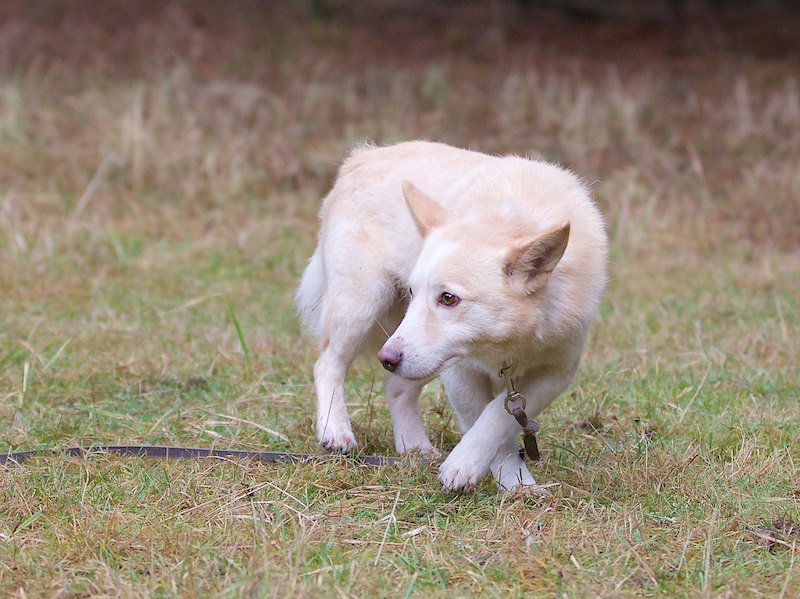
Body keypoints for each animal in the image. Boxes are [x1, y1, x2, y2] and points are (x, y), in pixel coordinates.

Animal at [296, 141, 607, 492]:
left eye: (448, 298)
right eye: (415, 291)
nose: (385, 358)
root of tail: (361, 157)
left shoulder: (555, 372)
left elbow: (498, 419)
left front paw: (512, 482)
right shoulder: (459, 372)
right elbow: (487, 423)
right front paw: (495, 474)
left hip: (417, 353)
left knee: (396, 386)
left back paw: (413, 446)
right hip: (363, 307)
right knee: (328, 364)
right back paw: (335, 431)